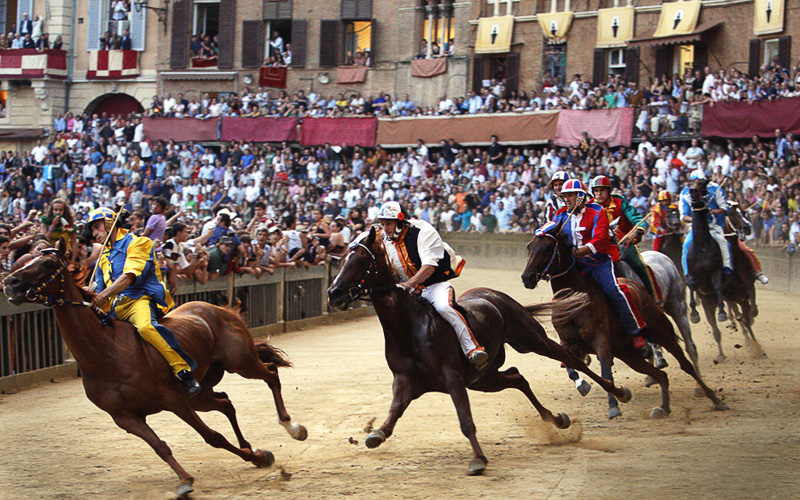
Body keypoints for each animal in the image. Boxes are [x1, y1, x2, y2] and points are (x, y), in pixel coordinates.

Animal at [1, 247, 308, 500]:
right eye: (25, 259)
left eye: (47, 263)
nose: (10, 282)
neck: (107, 355)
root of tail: (217, 308)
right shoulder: (125, 417)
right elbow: (160, 447)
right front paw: (188, 479)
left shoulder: (173, 400)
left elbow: (212, 437)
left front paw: (247, 456)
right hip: (202, 392)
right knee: (225, 402)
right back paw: (253, 449)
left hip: (239, 362)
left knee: (270, 374)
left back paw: (291, 426)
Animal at [324, 229, 632, 474]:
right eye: (342, 258)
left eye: (361, 260)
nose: (333, 293)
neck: (409, 328)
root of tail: (496, 296)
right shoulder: (406, 380)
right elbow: (394, 412)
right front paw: (375, 434)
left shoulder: (452, 376)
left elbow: (466, 421)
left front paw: (478, 459)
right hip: (484, 378)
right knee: (517, 377)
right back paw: (556, 419)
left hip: (532, 340)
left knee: (572, 361)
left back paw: (617, 393)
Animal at [520, 221, 732, 420]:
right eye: (529, 246)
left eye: (547, 248)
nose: (526, 277)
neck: (575, 301)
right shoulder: (568, 343)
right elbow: (571, 366)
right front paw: (583, 385)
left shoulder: (601, 342)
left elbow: (606, 372)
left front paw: (614, 406)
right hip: (628, 353)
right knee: (661, 375)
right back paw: (663, 407)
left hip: (664, 329)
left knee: (686, 362)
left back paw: (714, 399)